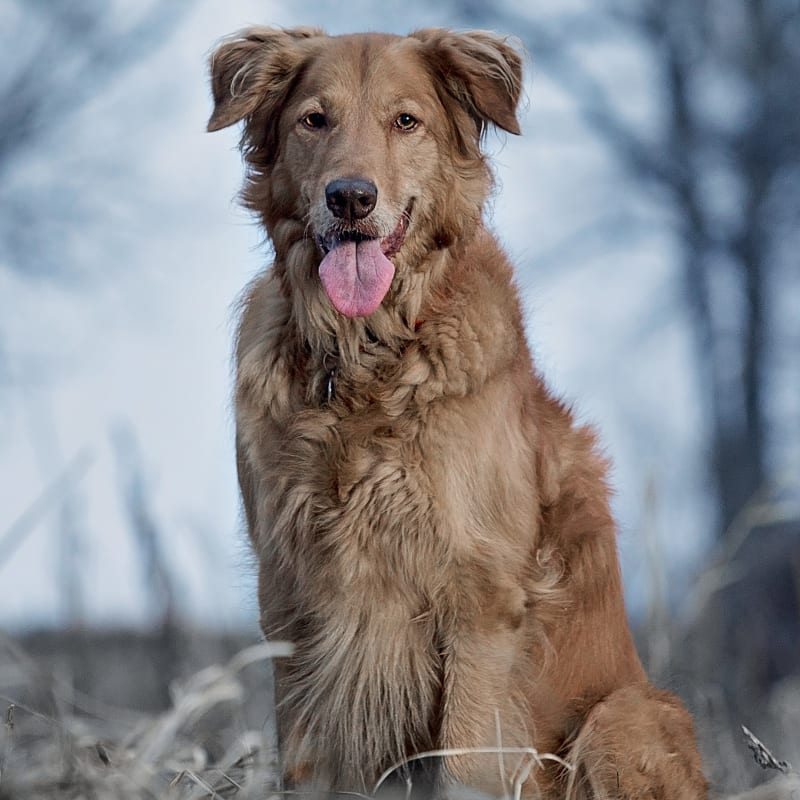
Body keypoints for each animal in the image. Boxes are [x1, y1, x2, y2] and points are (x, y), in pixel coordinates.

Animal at [206, 26, 708, 800]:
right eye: (314, 120)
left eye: (405, 121)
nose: (350, 198)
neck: (366, 358)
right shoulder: (290, 595)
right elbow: (306, 762)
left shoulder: (480, 599)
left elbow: (467, 762)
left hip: (624, 713)